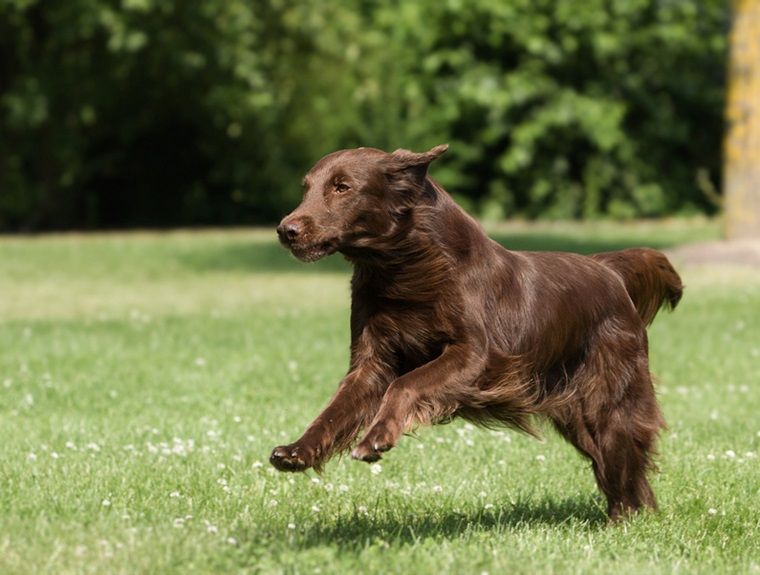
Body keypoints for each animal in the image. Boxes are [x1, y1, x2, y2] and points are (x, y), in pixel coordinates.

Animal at [268, 145, 684, 520]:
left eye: (342, 187)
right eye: (307, 187)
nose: (285, 230)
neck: (403, 269)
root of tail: (608, 269)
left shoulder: (476, 356)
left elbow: (404, 385)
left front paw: (375, 439)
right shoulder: (371, 362)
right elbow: (334, 411)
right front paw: (296, 451)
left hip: (608, 401)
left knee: (625, 463)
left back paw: (626, 521)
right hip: (575, 410)